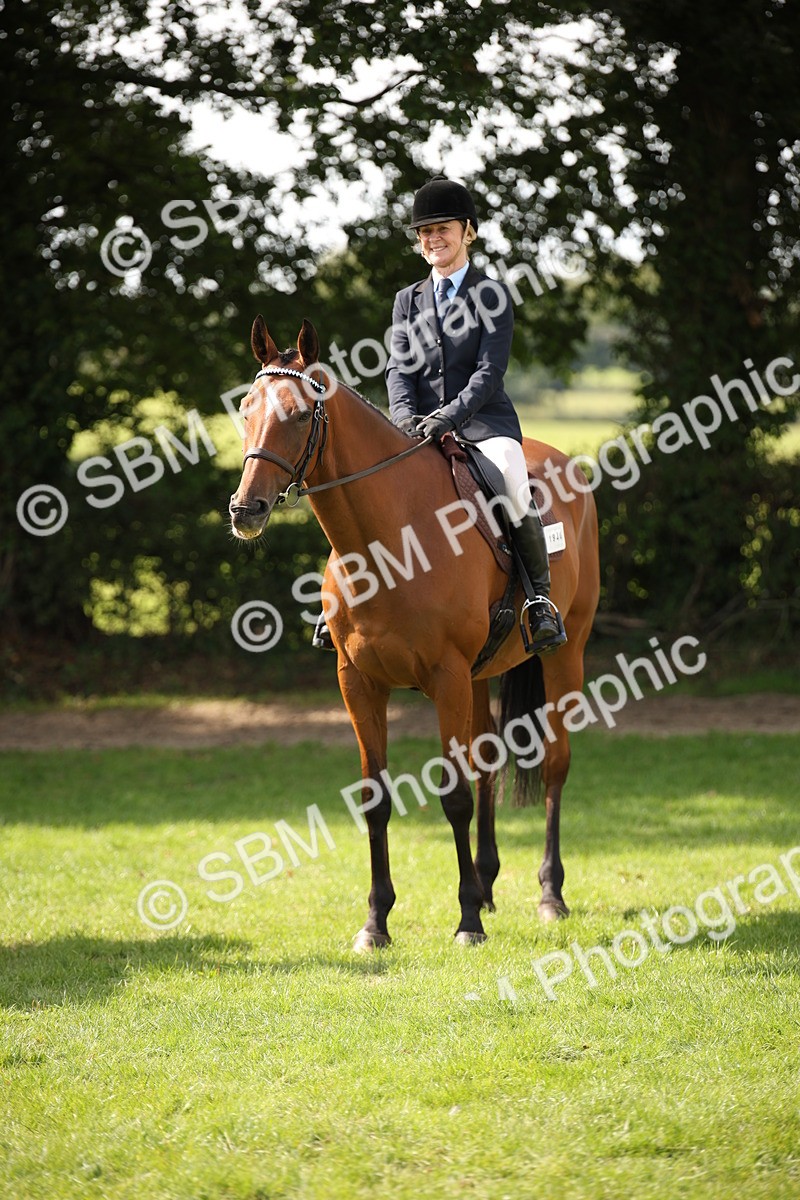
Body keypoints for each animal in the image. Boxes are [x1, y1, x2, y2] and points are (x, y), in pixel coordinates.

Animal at [229, 316, 600, 949]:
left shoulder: (445, 678)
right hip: (480, 676)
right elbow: (376, 799)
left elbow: (453, 797)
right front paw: (376, 922)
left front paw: (468, 922)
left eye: (300, 414)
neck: (386, 542)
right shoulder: (358, 681)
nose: (244, 509)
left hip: (563, 654)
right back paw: (489, 884)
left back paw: (549, 895)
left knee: (554, 763)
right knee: (488, 763)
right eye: (246, 408)